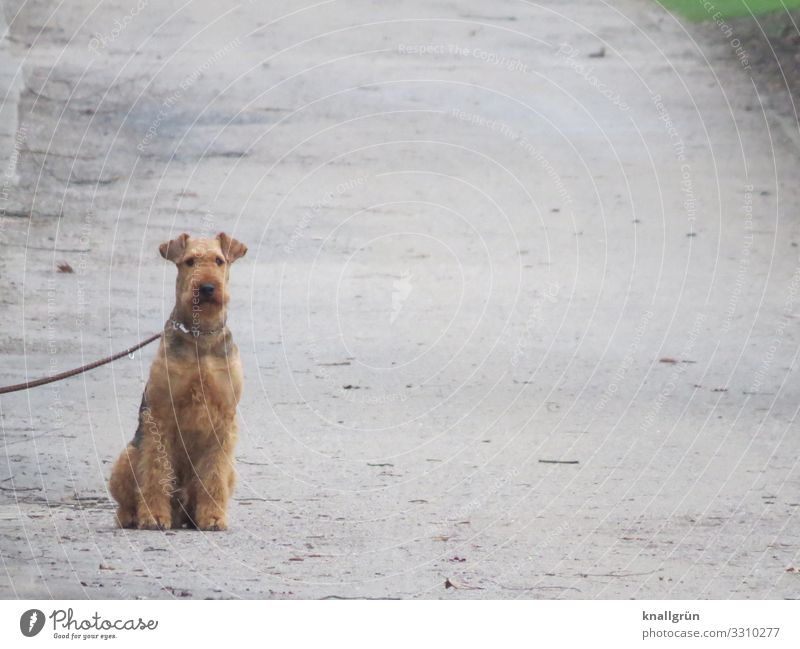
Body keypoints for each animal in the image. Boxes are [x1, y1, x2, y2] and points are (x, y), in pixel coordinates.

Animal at [109, 230, 247, 528]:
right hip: (127, 458)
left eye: (219, 260)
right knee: (126, 501)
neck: (200, 336)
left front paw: (213, 517)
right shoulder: (160, 414)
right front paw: (154, 516)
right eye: (189, 261)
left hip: (231, 472)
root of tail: (180, 512)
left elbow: (213, 475)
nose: (207, 288)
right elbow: (157, 472)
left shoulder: (224, 419)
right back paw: (136, 516)